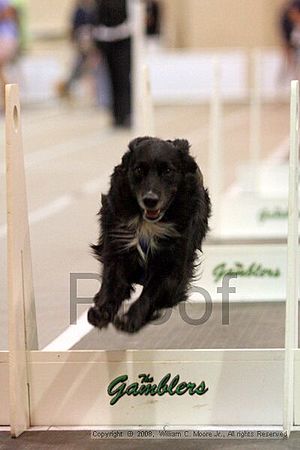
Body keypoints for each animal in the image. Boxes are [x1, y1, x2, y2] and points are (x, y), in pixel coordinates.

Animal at [88, 135, 211, 332]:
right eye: (139, 170)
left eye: (167, 170)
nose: (150, 200)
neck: (149, 223)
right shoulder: (118, 247)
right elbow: (112, 281)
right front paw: (101, 311)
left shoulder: (173, 268)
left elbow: (152, 291)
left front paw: (131, 318)